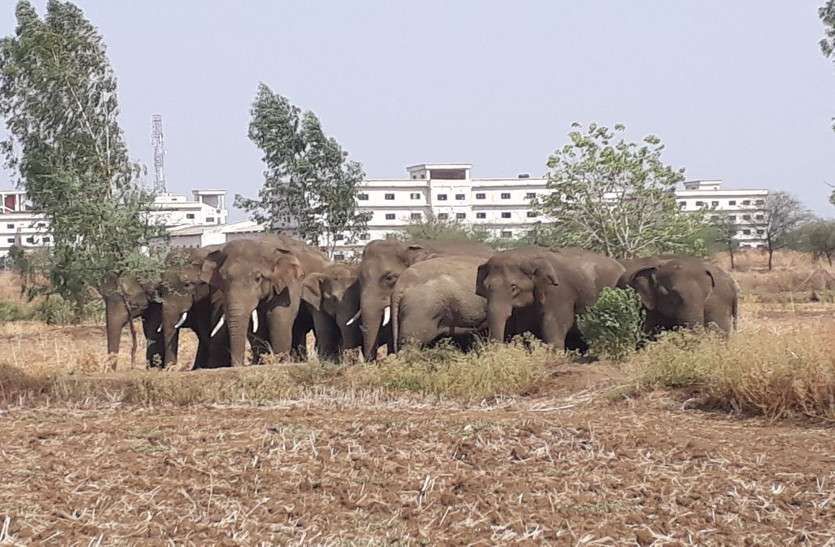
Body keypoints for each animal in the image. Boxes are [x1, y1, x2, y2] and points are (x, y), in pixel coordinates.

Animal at [201, 237, 332, 368]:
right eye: (223, 279)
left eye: (258, 278)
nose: (239, 365)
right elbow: (259, 325)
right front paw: (263, 362)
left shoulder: (291, 283)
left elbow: (279, 316)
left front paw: (281, 362)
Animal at [476, 248, 628, 352]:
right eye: (485, 286)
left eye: (514, 287)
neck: (529, 256)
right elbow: (526, 328)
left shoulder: (559, 292)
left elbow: (556, 323)